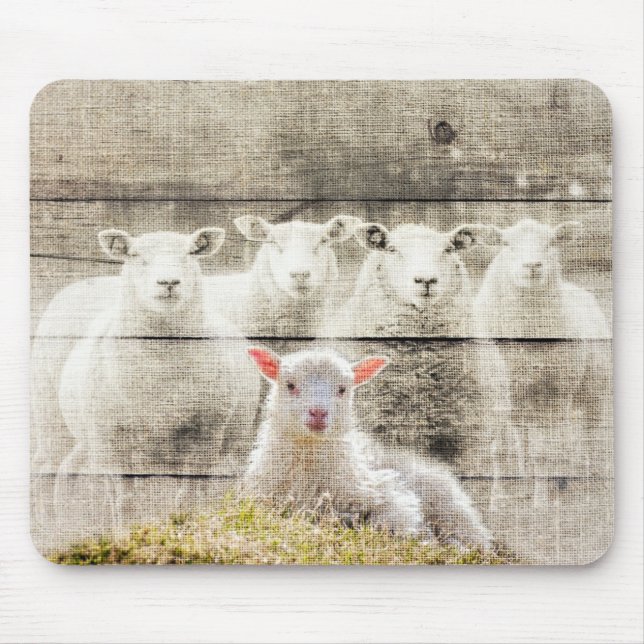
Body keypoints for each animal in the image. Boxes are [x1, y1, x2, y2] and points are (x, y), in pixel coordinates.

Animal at [54, 228, 262, 531]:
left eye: (190, 253)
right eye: (134, 254)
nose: (169, 282)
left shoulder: (206, 433)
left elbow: (187, 498)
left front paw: (185, 527)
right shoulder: (112, 439)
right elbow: (125, 501)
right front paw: (124, 534)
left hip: (231, 442)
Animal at [242, 347, 493, 550]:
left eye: (342, 389)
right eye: (290, 385)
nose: (318, 413)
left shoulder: (392, 497)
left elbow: (390, 522)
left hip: (450, 508)